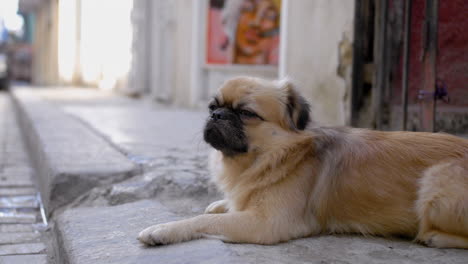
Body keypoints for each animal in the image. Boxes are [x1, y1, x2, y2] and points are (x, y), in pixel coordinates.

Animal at [138, 76, 468, 248]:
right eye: (212, 107)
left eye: (246, 113)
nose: (217, 115)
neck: (269, 157)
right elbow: (225, 206)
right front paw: (223, 202)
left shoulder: (266, 223)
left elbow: (203, 220)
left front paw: (162, 230)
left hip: (435, 182)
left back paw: (434, 237)